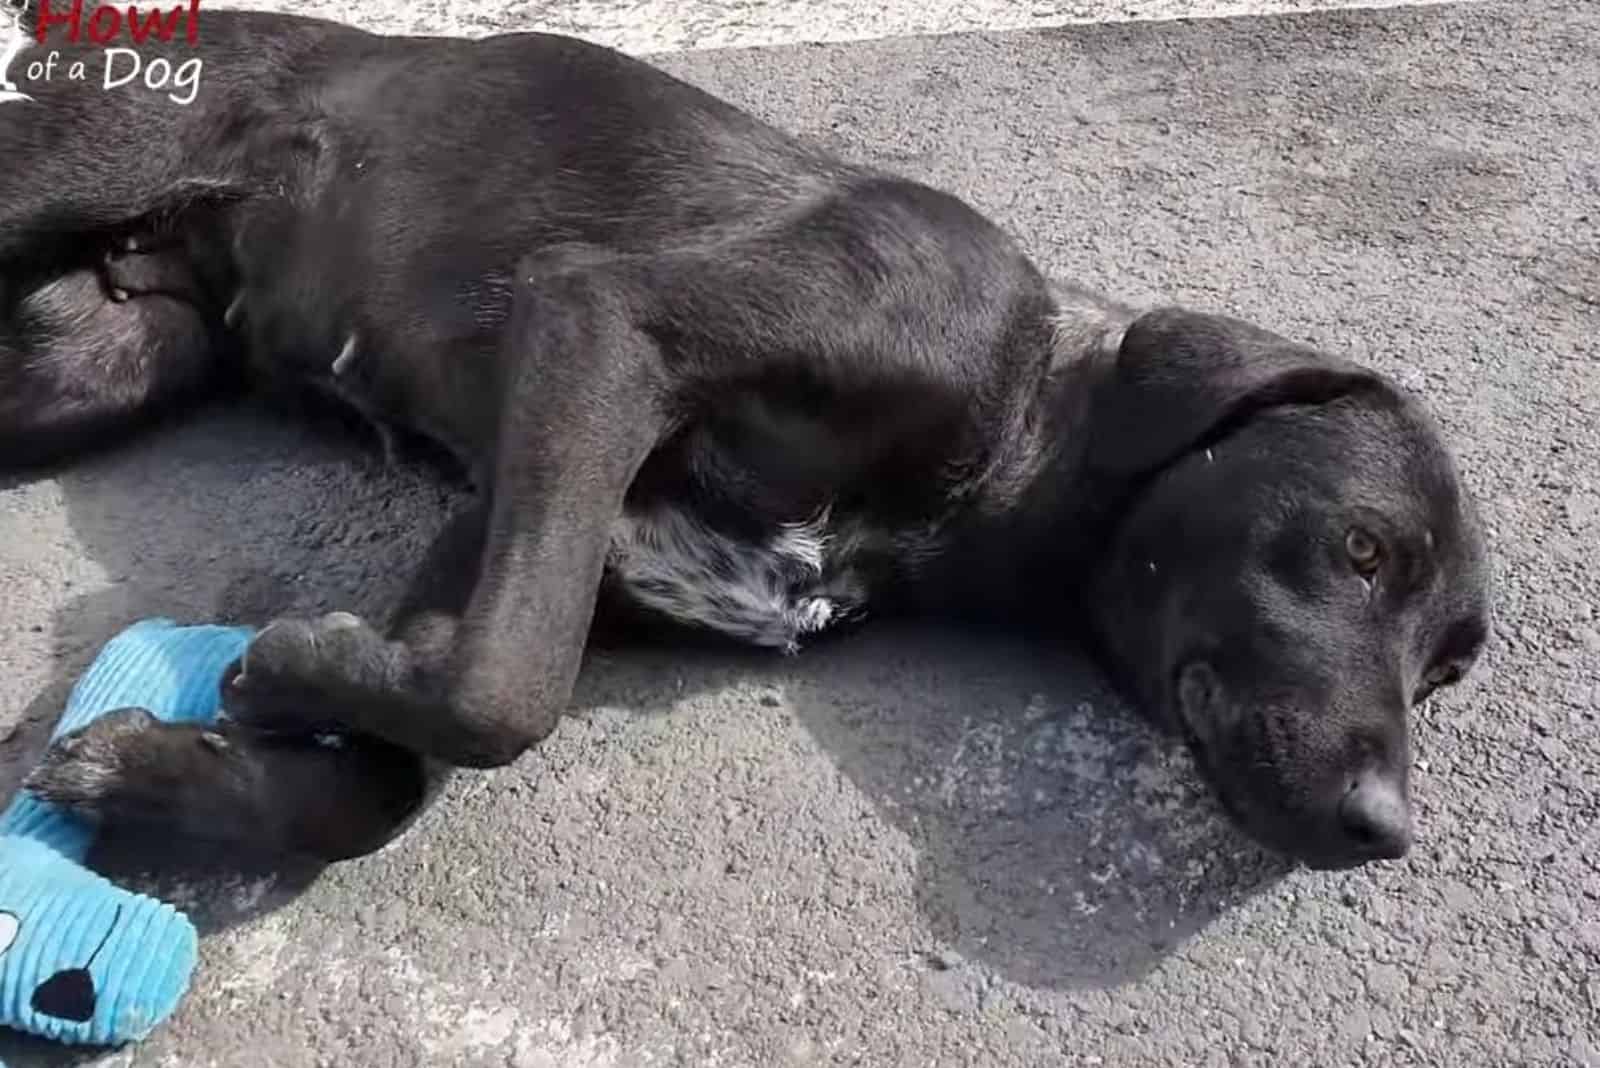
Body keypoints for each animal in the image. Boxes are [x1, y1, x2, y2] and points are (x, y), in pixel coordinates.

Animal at [6, 8, 1491, 869]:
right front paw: (276, 675)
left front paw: (172, 769)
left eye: (1446, 675)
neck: (1009, 422)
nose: (1384, 832)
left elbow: (400, 754)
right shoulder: (599, 324)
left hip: (98, 363)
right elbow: (505, 690)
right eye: (1362, 550)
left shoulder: (515, 509)